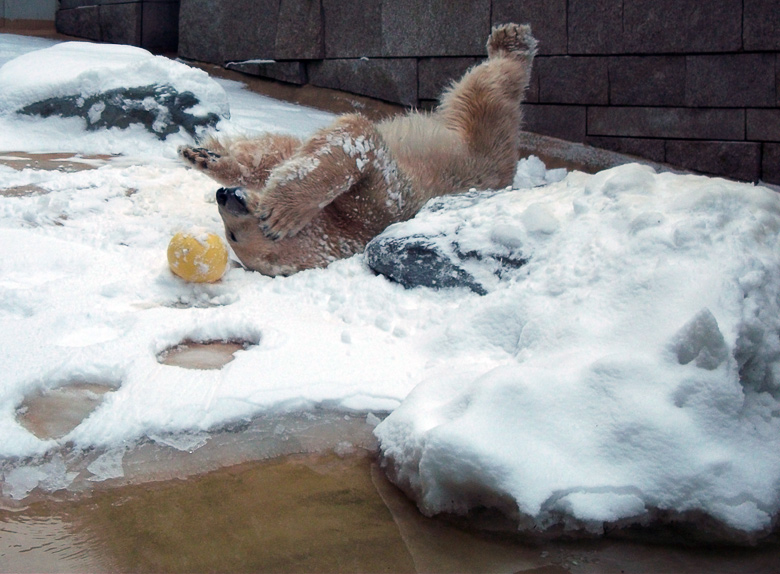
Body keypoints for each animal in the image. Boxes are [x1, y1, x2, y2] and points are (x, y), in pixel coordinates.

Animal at [179, 25, 532, 280]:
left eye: (234, 235)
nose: (224, 195)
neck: (347, 227)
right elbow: (285, 152)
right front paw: (202, 155)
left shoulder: (380, 207)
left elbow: (354, 143)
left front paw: (282, 208)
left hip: (479, 137)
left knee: (489, 88)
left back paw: (510, 40)